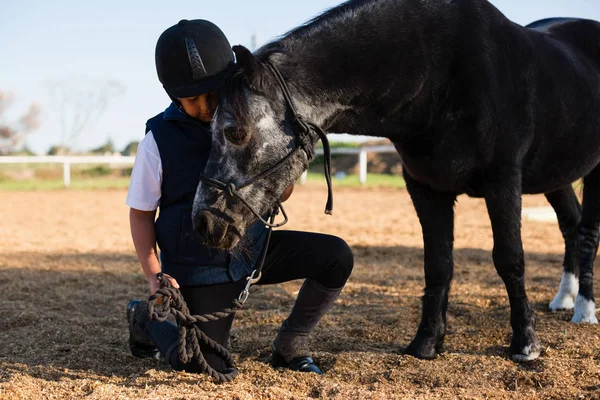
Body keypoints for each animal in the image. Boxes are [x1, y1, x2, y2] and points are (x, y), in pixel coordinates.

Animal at [192, 0, 600, 362]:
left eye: (235, 132)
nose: (204, 222)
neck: (442, 72)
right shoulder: (426, 188)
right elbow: (438, 264)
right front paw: (426, 344)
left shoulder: (503, 181)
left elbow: (510, 259)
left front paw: (525, 345)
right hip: (555, 176)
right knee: (570, 224)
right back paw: (563, 298)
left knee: (586, 233)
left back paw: (584, 309)